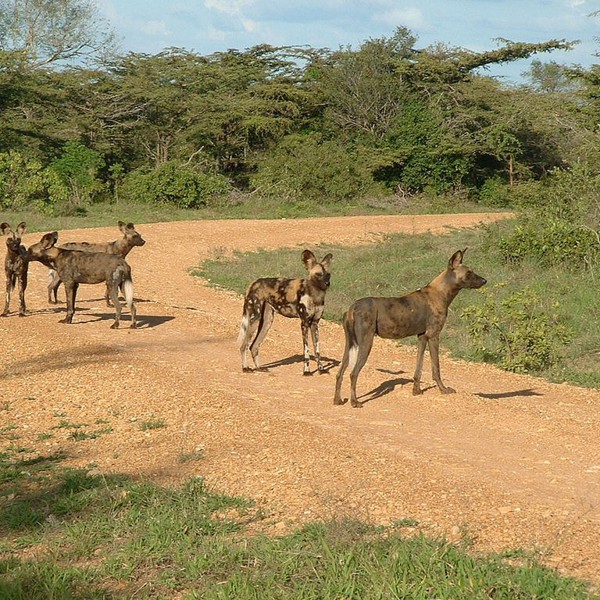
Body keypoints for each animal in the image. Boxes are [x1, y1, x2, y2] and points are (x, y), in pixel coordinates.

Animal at [333, 248, 486, 407]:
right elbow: (436, 369)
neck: (441, 293)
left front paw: (416, 390)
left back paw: (338, 400)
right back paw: (354, 402)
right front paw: (443, 389)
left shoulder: (422, 337)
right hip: (366, 344)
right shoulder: (434, 336)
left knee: (339, 373)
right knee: (353, 373)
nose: (484, 281)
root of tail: (352, 307)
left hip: (350, 345)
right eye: (469, 273)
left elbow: (418, 369)